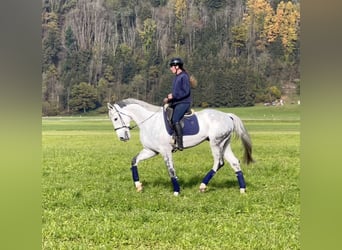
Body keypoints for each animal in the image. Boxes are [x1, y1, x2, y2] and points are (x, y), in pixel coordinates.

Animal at [107, 98, 254, 195]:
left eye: (115, 118)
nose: (122, 138)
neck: (150, 122)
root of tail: (227, 116)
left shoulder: (165, 151)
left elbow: (171, 170)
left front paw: (176, 191)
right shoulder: (151, 151)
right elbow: (134, 161)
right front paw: (138, 186)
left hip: (215, 143)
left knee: (218, 162)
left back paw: (202, 186)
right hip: (224, 144)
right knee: (234, 163)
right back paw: (242, 189)